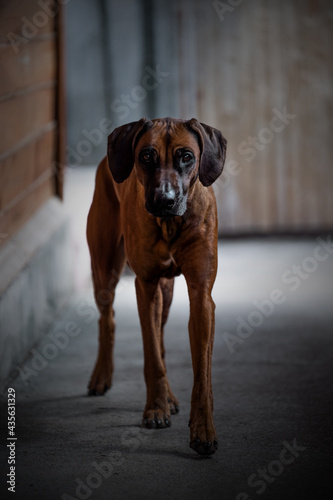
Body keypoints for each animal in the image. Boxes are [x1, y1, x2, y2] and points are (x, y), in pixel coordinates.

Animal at [85, 118, 226, 458]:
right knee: (107, 318)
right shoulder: (146, 287)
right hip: (105, 270)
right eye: (146, 156)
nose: (165, 199)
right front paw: (156, 409)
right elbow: (152, 358)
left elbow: (201, 372)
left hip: (168, 291)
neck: (171, 223)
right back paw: (102, 375)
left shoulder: (201, 295)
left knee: (161, 337)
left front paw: (203, 429)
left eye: (186, 157)